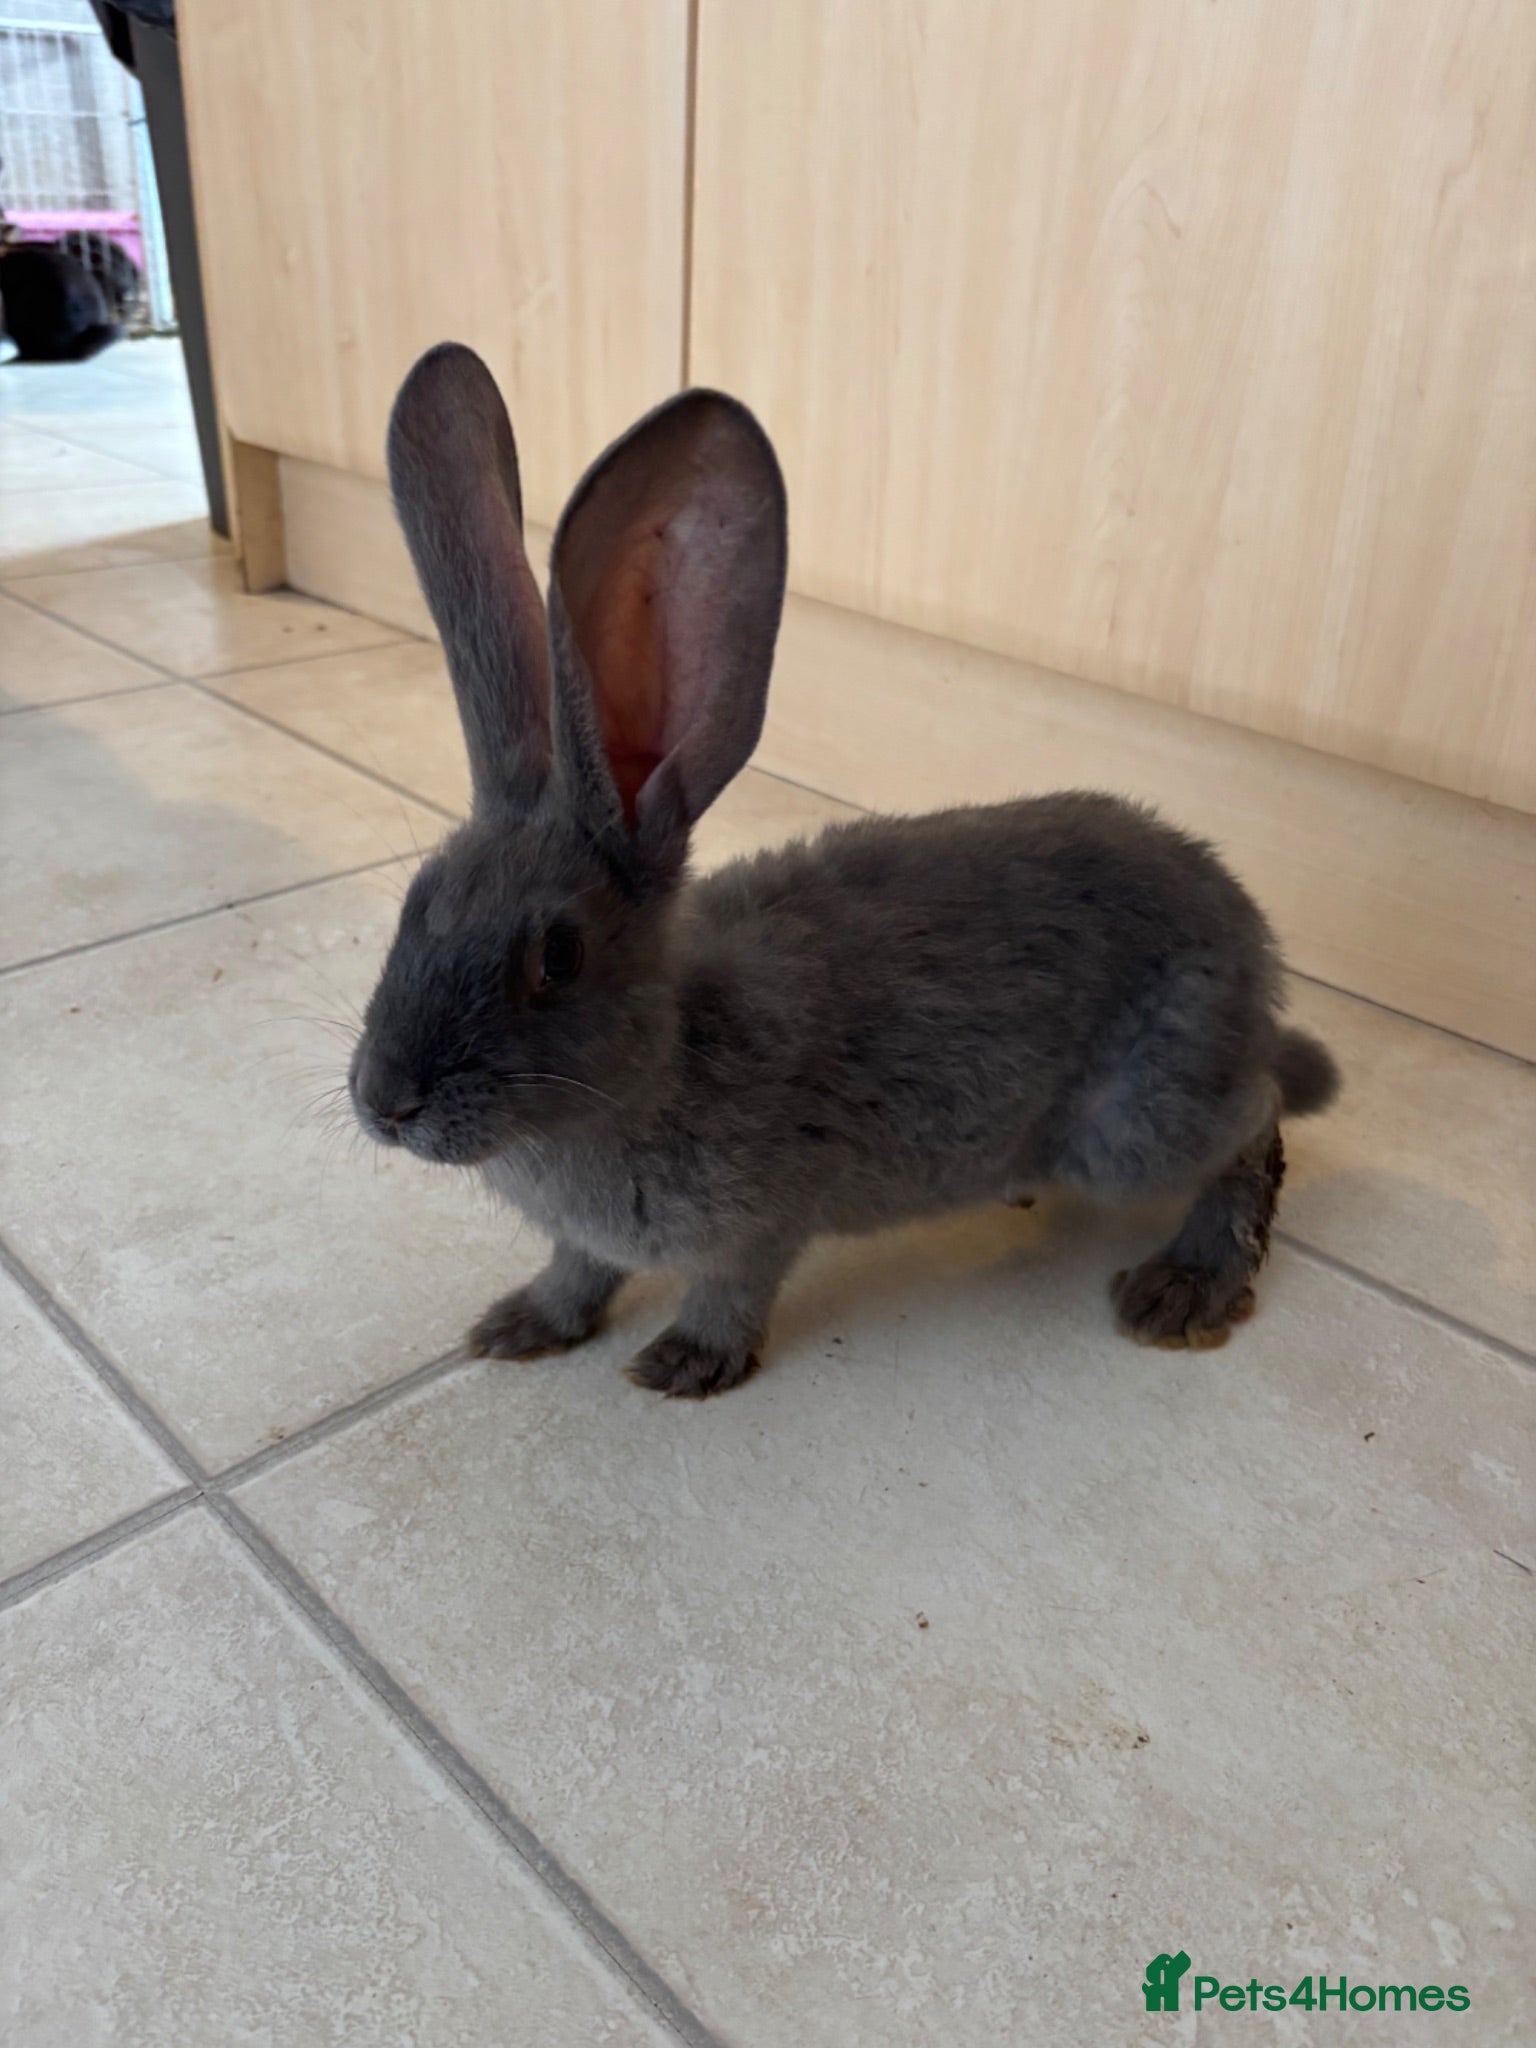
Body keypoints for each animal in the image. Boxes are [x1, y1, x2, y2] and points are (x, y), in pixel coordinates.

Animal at [349, 342, 1339, 1398]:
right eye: (415, 905)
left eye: (558, 958)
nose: (384, 1102)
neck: (662, 1057)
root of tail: (1248, 942)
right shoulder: (596, 1240)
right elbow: (579, 1269)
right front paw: (520, 1326)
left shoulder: (763, 1217)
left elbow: (732, 1287)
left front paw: (684, 1366)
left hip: (1132, 1128)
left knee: (1255, 1124)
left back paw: (1185, 1287)